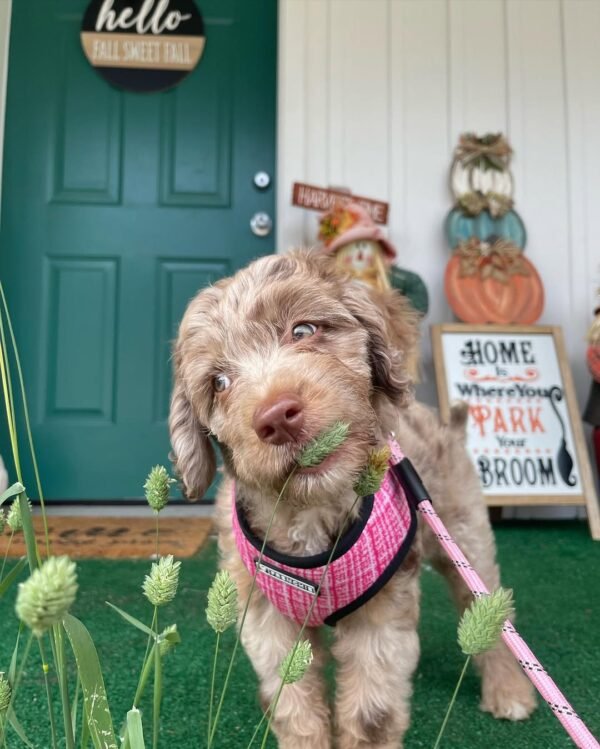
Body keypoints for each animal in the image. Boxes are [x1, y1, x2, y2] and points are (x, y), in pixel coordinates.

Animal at [169, 248, 536, 744]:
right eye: (219, 383)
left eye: (303, 331)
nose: (276, 417)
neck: (311, 510)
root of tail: (444, 423)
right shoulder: (267, 617)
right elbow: (294, 701)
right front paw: (305, 739)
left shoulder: (380, 617)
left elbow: (371, 711)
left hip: (463, 533)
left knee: (487, 612)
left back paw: (508, 691)